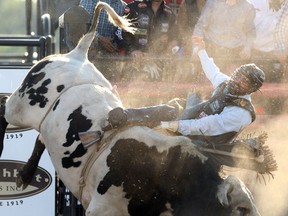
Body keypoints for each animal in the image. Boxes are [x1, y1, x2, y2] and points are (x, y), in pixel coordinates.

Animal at [0, 2, 272, 216]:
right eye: (241, 209)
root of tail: (77, 54)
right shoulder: (102, 209)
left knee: (40, 138)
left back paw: (25, 175)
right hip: (22, 105)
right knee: (5, 108)